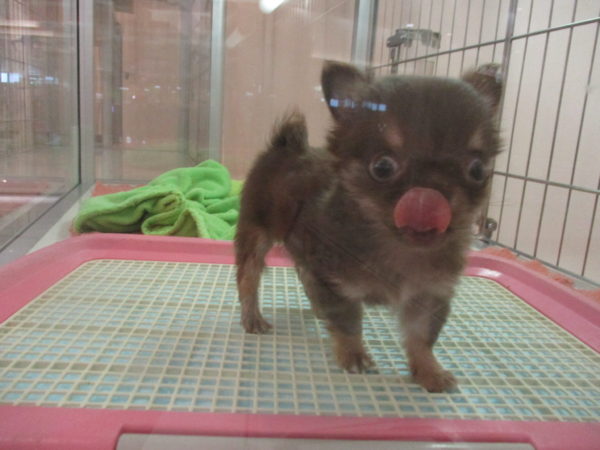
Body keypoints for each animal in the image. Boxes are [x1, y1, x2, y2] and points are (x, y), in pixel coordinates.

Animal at [235, 61, 502, 392]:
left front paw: (430, 371)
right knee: (248, 277)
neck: (396, 247)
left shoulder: (429, 294)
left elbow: (422, 337)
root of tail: (286, 147)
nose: (430, 194)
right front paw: (353, 355)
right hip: (255, 232)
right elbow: (348, 322)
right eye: (382, 167)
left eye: (477, 170)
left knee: (306, 278)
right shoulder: (337, 284)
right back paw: (253, 318)